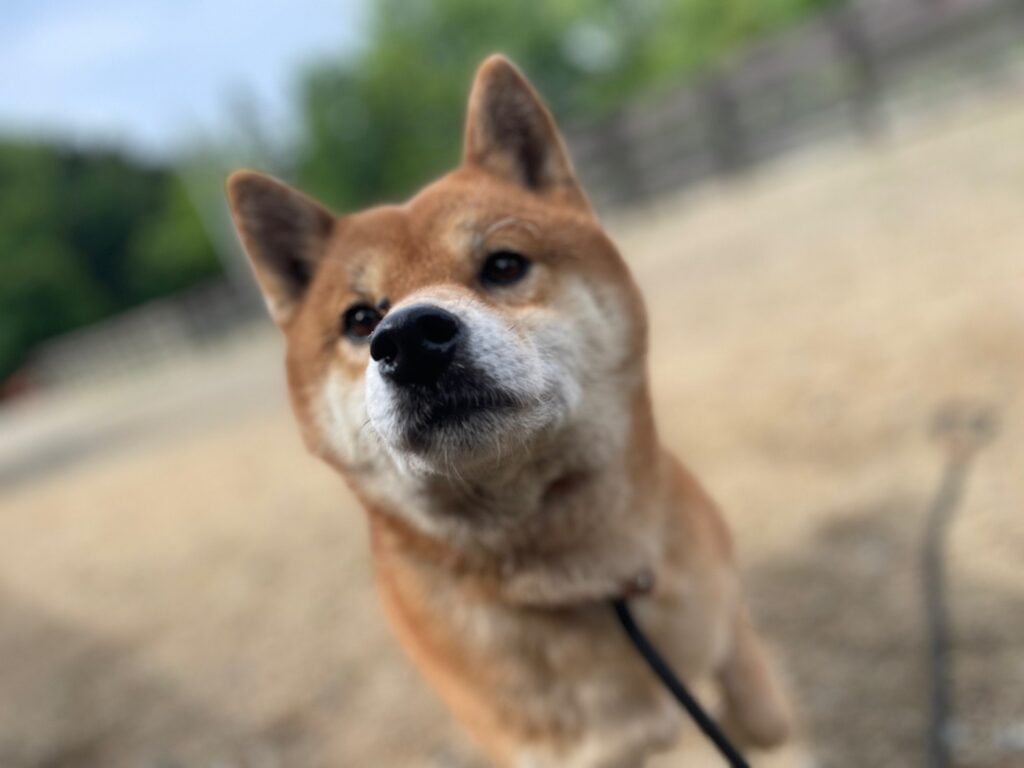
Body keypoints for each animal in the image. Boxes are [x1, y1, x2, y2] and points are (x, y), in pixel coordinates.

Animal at [227, 54, 792, 767]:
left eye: (502, 264)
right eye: (359, 319)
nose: (408, 340)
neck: (585, 575)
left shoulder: (721, 614)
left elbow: (759, 710)